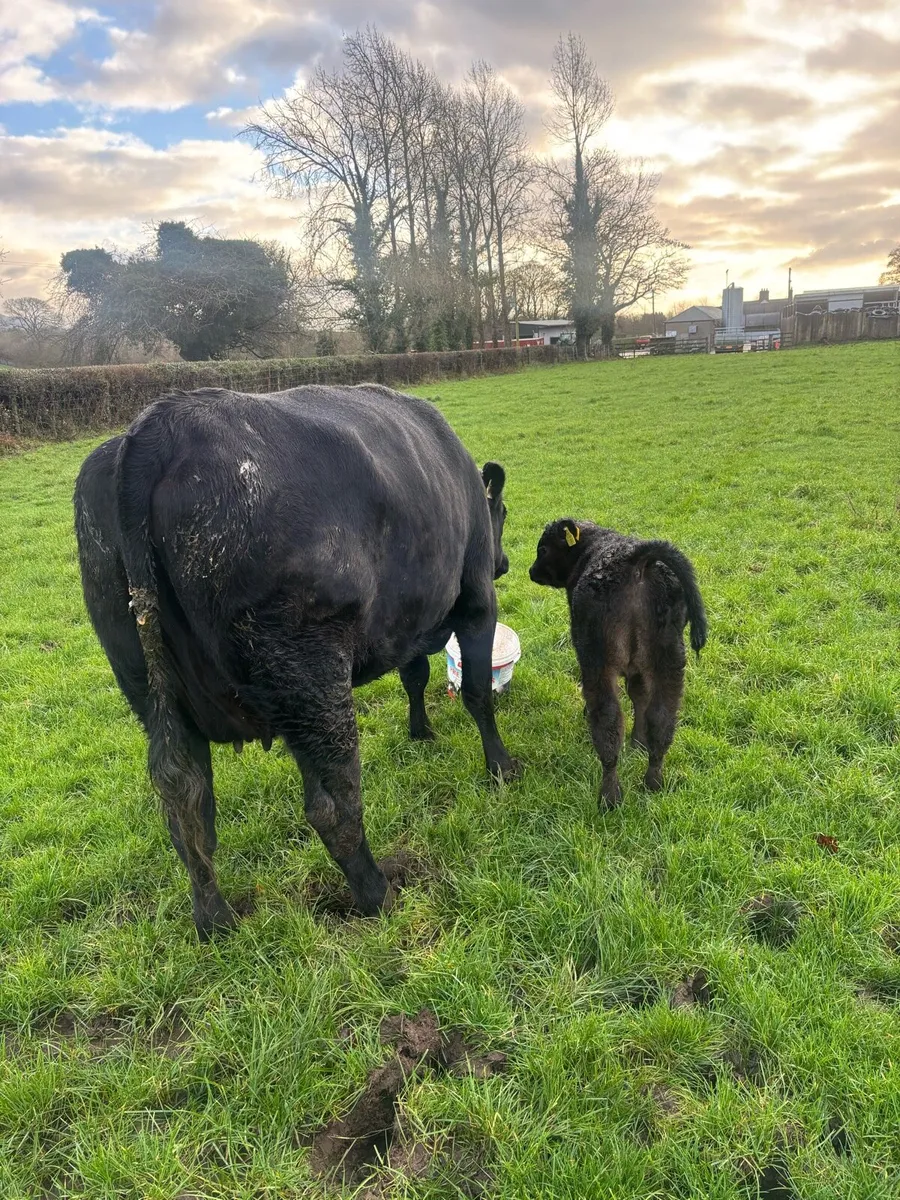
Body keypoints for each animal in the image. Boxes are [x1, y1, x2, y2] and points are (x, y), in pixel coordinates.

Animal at [74, 384, 516, 940]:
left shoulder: (407, 623)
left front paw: (421, 732)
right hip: (311, 676)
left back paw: (215, 921)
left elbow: (414, 676)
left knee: (186, 805)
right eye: (503, 512)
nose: (505, 562)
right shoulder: (475, 596)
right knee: (334, 805)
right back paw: (378, 896)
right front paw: (501, 767)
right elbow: (477, 693)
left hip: (156, 687)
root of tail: (159, 425)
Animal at [529, 519, 706, 807]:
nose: (532, 571)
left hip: (597, 661)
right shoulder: (639, 669)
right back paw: (653, 782)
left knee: (608, 719)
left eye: (542, 549)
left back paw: (609, 797)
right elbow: (639, 696)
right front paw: (639, 741)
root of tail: (637, 559)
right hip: (670, 660)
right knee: (662, 717)